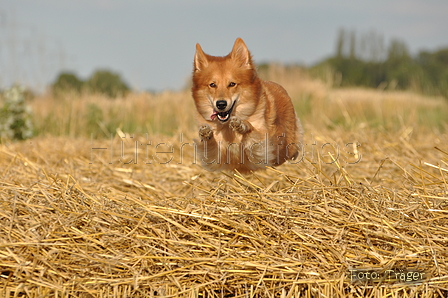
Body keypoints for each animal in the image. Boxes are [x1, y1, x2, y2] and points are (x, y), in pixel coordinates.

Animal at [191, 37, 302, 173]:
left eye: (232, 84)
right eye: (212, 85)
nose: (221, 104)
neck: (227, 127)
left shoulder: (262, 148)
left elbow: (252, 131)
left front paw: (242, 125)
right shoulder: (217, 158)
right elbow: (212, 145)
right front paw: (206, 134)